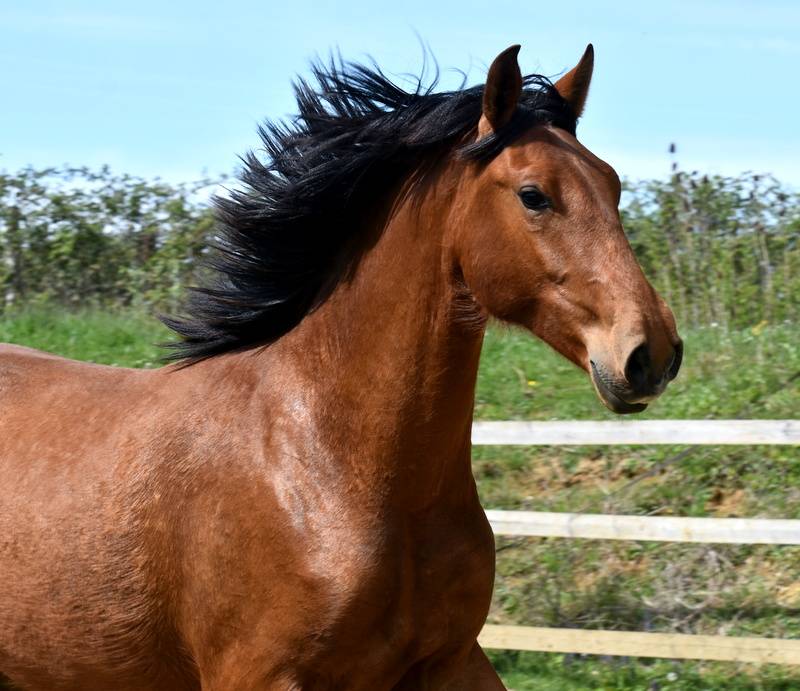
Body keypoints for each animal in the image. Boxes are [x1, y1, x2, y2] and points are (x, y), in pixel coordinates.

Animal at [0, 44, 682, 690]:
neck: (329, 465)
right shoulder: (258, 675)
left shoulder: (452, 663)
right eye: (533, 195)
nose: (652, 352)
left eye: (613, 185)